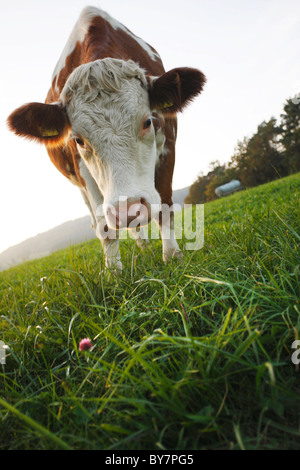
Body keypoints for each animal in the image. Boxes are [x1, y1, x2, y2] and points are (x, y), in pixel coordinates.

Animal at [7, 6, 205, 272]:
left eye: (147, 121)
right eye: (78, 140)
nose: (128, 209)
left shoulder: (168, 146)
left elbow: (164, 205)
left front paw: (172, 256)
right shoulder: (83, 171)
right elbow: (104, 226)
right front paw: (114, 274)